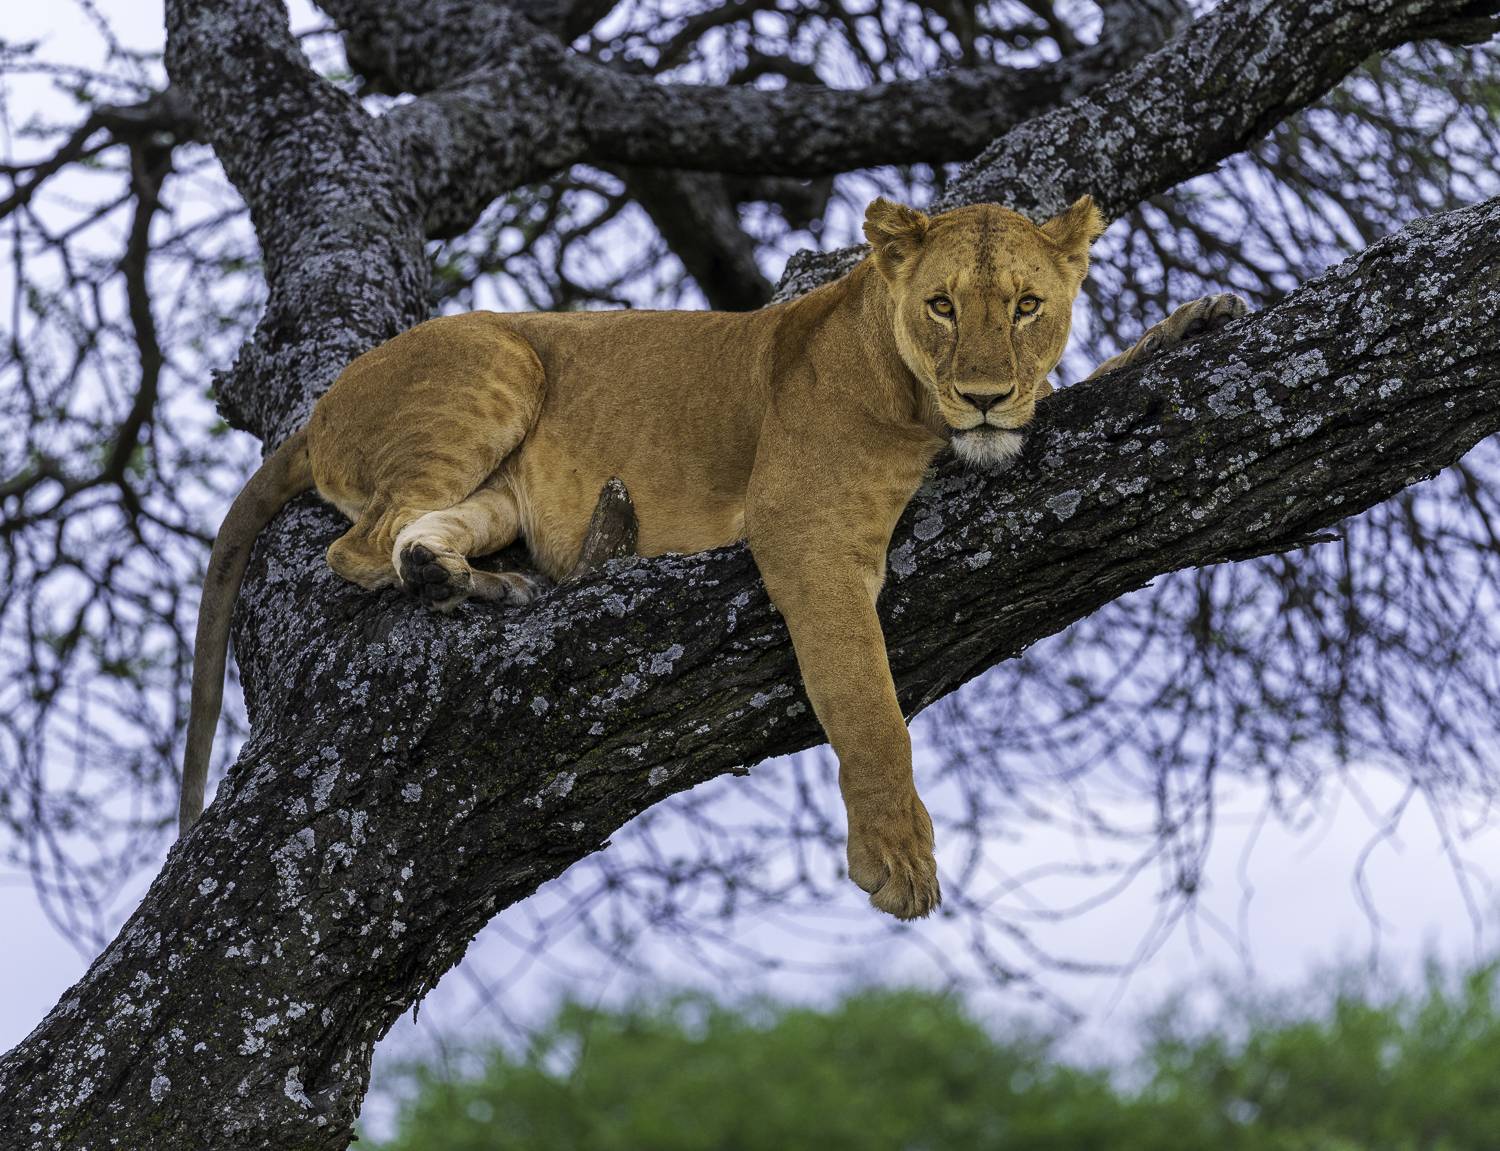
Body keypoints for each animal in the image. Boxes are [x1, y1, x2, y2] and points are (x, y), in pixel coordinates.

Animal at [179, 194, 1245, 920]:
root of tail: (319, 408)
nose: (984, 396)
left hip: (499, 483)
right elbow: (863, 693)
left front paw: (1194, 321)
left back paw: (486, 580)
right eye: (942, 305)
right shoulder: (805, 526)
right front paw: (897, 853)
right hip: (501, 359)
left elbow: (1088, 381)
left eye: (1027, 306)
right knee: (353, 545)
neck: (915, 396)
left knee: (416, 533)